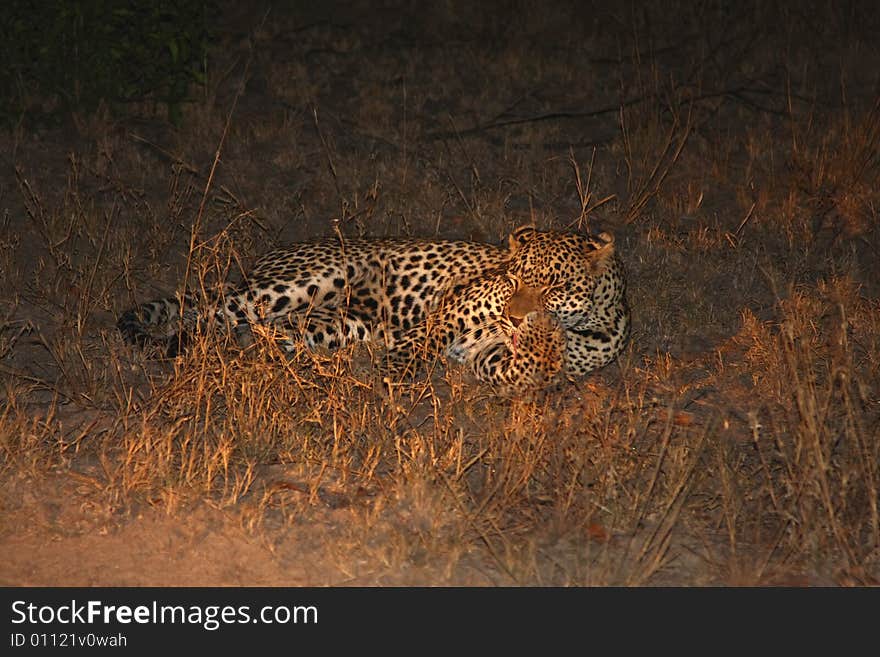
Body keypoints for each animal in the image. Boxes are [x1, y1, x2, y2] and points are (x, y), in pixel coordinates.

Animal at [117, 226, 628, 390]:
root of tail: (260, 262)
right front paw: (394, 373)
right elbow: (421, 341)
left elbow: (529, 368)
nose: (515, 316)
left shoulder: (494, 359)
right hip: (295, 284)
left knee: (258, 334)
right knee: (208, 314)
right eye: (514, 278)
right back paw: (180, 345)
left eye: (554, 285)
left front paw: (545, 337)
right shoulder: (453, 307)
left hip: (331, 325)